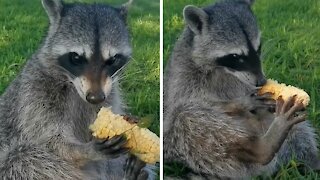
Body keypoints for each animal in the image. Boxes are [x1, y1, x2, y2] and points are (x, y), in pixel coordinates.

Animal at [0, 0, 151, 180]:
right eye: (76, 58)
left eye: (113, 59)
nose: (95, 98)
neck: (73, 86)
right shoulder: (35, 95)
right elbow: (51, 140)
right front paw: (81, 151)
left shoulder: (109, 94)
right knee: (23, 158)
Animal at [164, 0, 318, 179]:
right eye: (235, 56)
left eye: (258, 48)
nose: (261, 81)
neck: (225, 70)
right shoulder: (183, 75)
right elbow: (187, 103)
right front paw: (240, 103)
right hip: (182, 147)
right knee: (185, 117)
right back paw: (263, 147)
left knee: (300, 131)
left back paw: (311, 162)